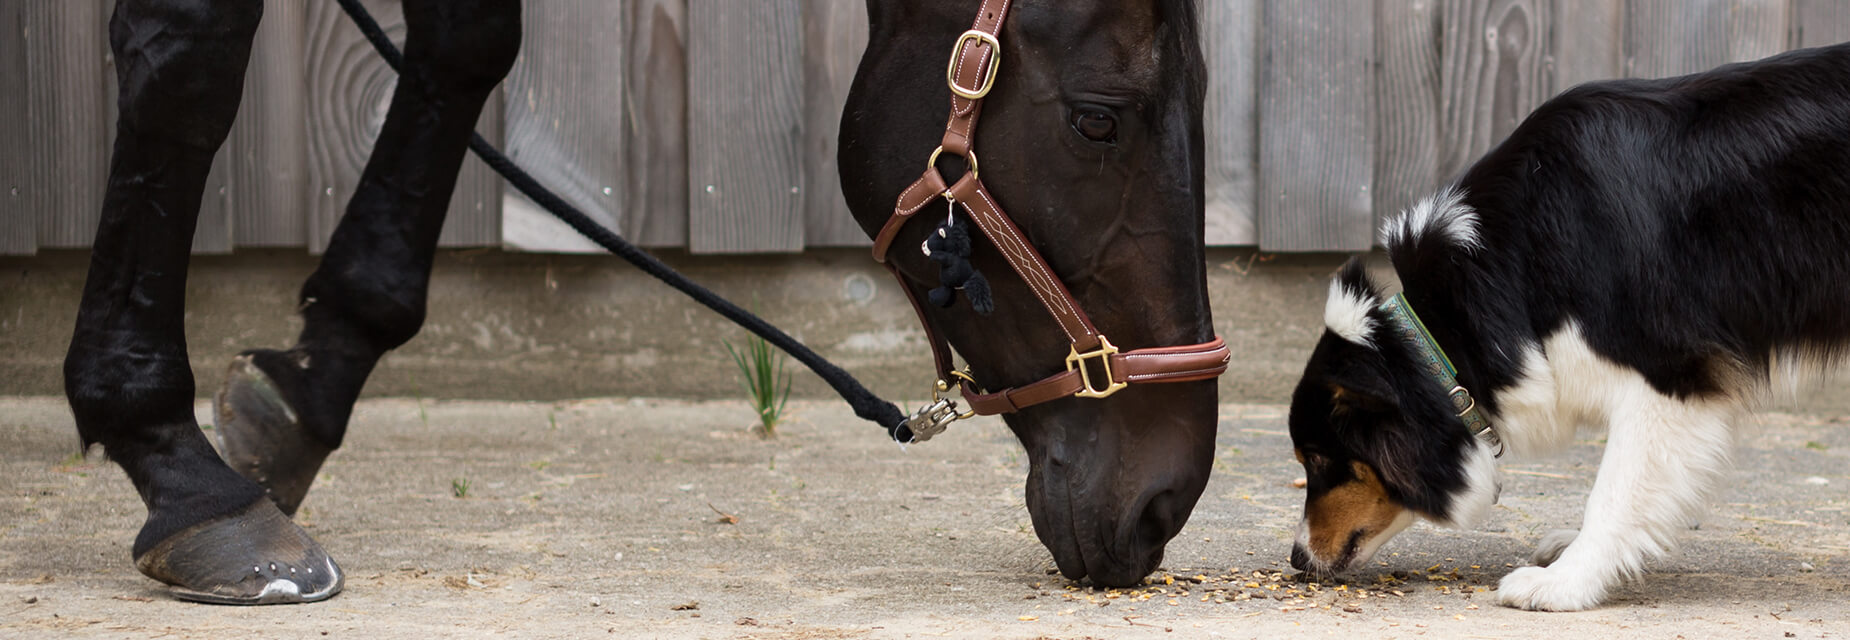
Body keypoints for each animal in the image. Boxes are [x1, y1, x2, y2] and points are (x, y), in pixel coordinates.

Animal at [61, 0, 1213, 606]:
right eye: (1098, 119)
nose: (1162, 502)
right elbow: (187, 66)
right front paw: (183, 475)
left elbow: (465, 44)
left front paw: (307, 390)